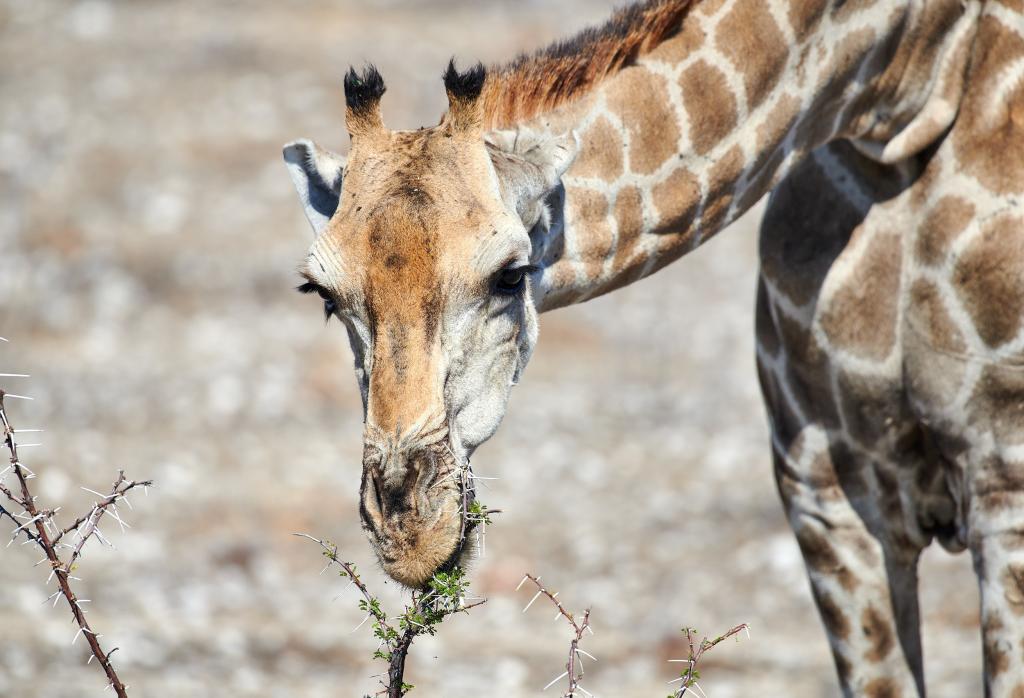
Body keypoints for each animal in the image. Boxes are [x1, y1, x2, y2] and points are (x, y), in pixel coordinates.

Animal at [284, 2, 1024, 691]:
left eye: (510, 274)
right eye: (323, 294)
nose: (410, 533)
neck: (905, 96)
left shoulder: (1003, 490)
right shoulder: (828, 495)